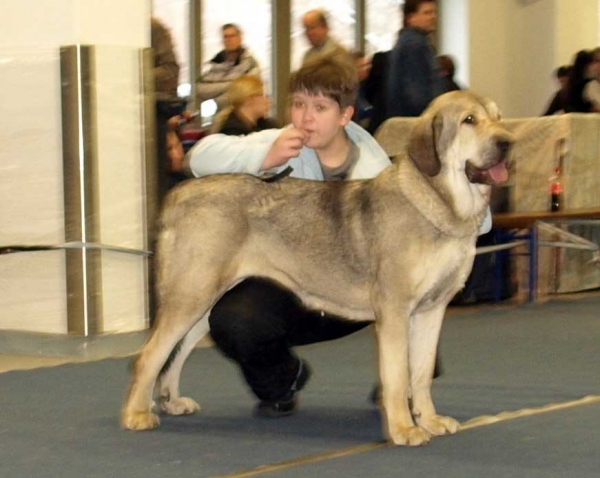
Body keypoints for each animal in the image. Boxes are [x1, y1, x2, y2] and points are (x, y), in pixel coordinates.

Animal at [123, 91, 516, 446]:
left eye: (499, 117)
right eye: (469, 120)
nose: (508, 142)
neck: (439, 203)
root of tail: (180, 192)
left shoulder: (431, 310)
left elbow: (419, 374)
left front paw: (430, 421)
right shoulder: (395, 311)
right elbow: (398, 376)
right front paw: (404, 429)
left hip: (204, 303)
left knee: (175, 353)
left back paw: (171, 401)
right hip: (191, 295)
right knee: (149, 355)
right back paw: (136, 414)